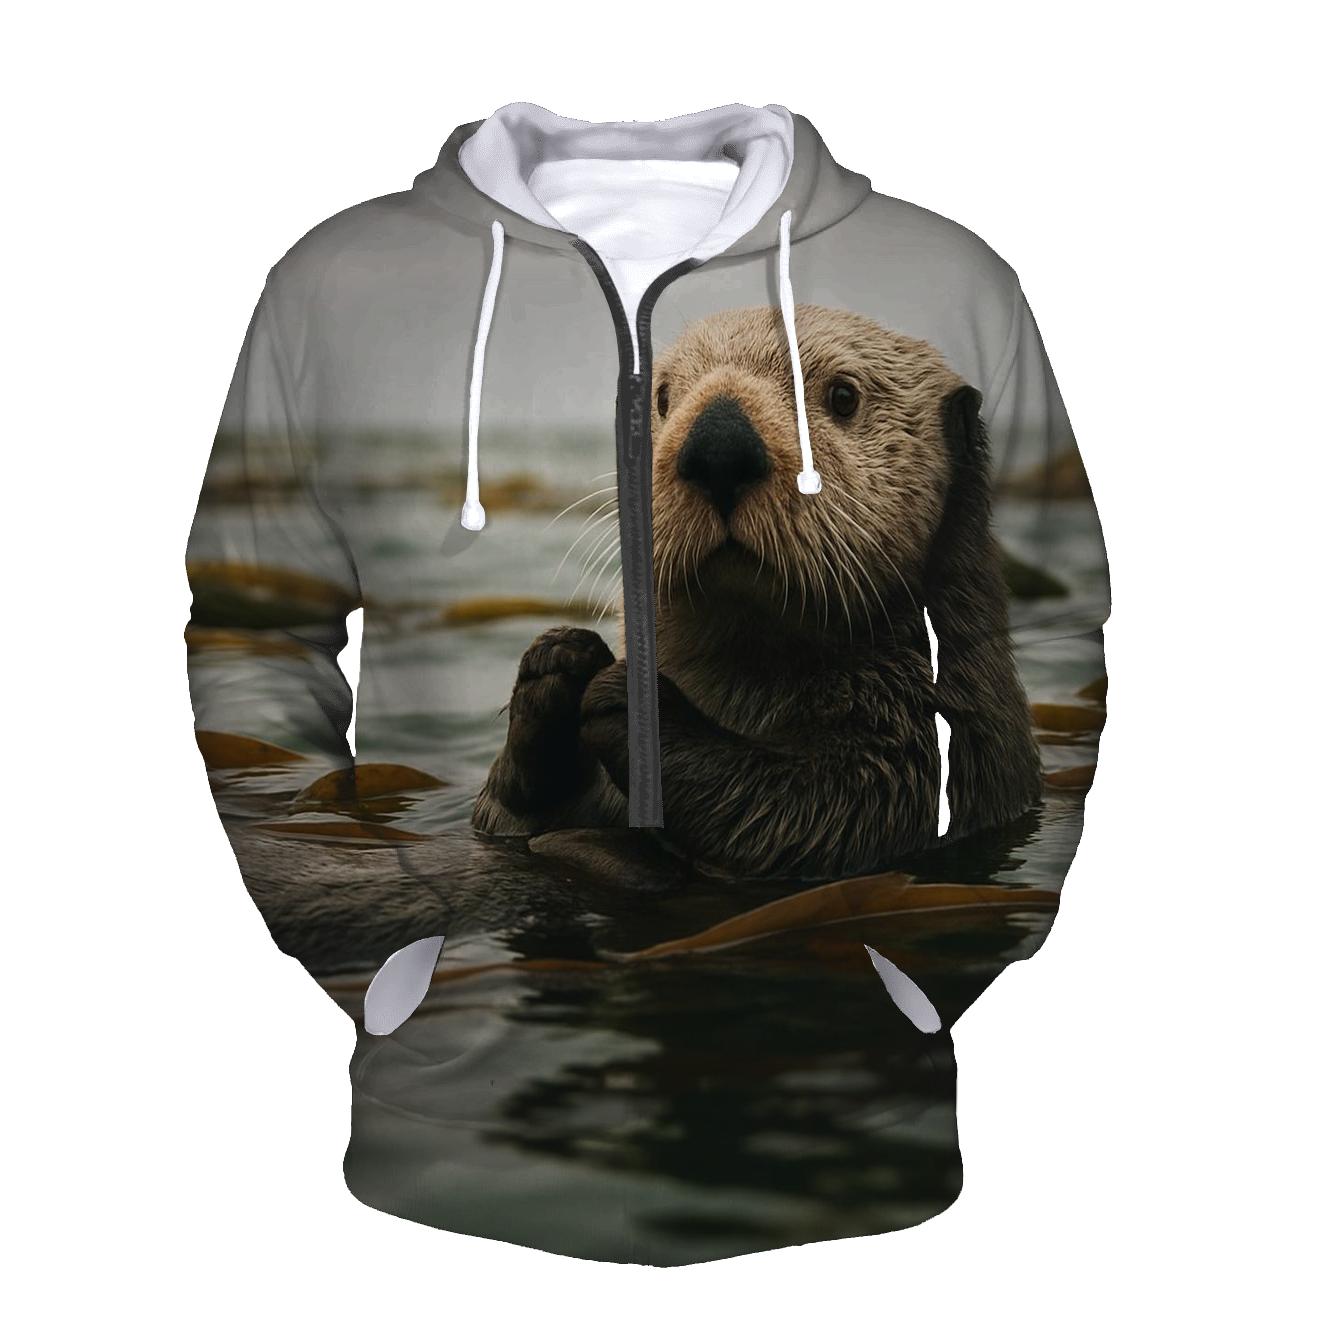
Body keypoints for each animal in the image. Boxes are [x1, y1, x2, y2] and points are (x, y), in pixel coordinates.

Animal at [473, 305, 1041, 879]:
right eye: (662, 396)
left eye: (844, 396)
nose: (719, 448)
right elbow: (499, 816)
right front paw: (558, 663)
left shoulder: (939, 745)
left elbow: (824, 807)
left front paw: (637, 705)